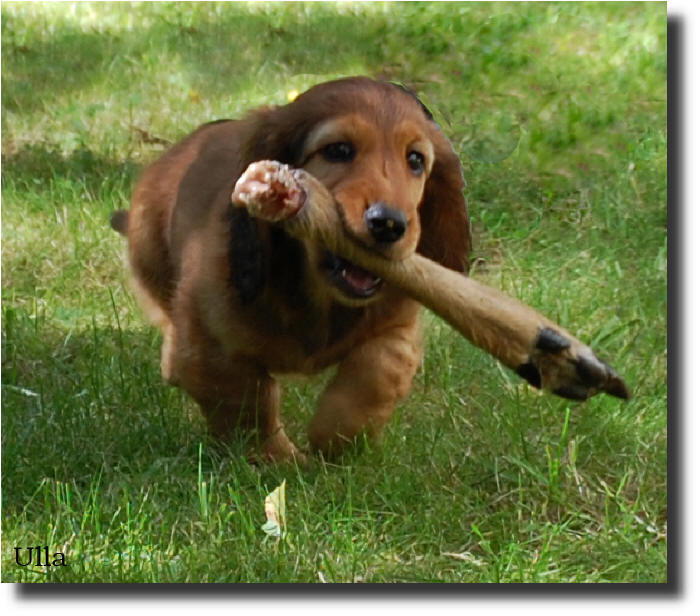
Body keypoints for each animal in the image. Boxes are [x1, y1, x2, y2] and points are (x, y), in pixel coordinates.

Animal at [110, 76, 471, 461]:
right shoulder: (207, 337)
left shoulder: (397, 326)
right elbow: (245, 398)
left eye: (415, 160)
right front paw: (274, 459)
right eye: (338, 150)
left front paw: (336, 441)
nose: (388, 224)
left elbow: (377, 370)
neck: (318, 296)